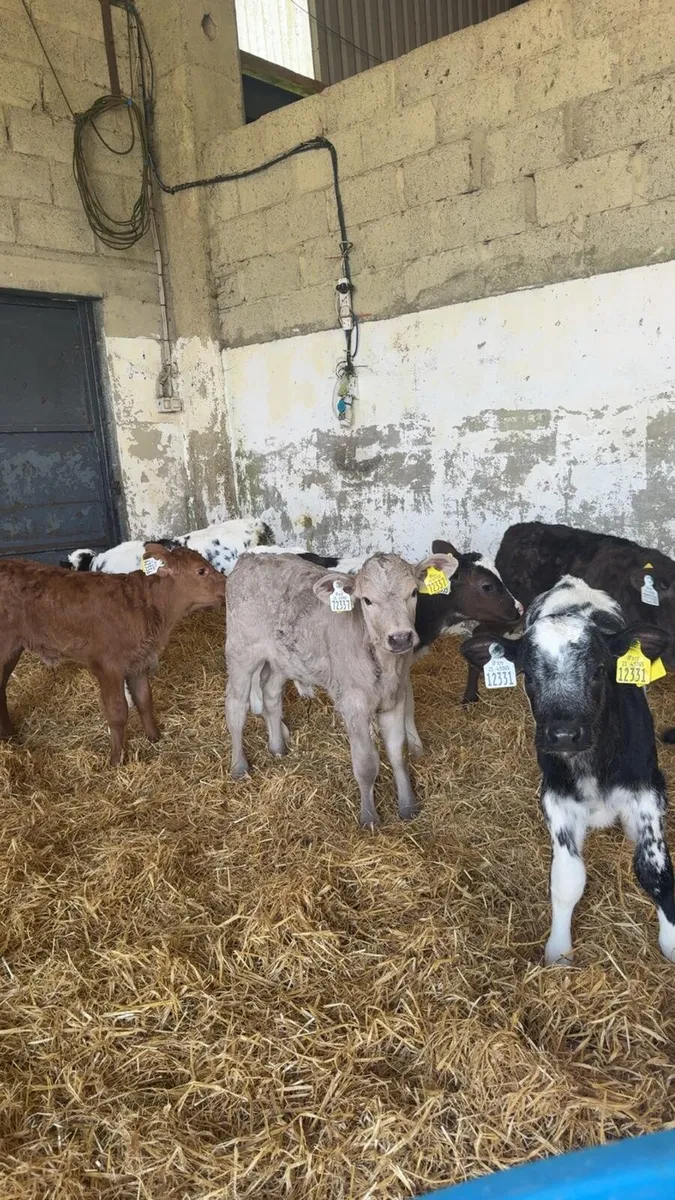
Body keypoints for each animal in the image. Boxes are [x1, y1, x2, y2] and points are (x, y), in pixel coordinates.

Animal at [0, 544, 225, 765]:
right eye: (201, 571)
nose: (227, 583)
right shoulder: (108, 666)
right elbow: (117, 710)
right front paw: (117, 757)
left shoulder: (138, 662)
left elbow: (144, 700)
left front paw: (154, 737)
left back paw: (10, 736)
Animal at [225, 549, 458, 827]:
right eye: (367, 600)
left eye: (413, 592)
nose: (400, 637)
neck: (384, 669)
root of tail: (250, 557)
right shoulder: (353, 705)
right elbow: (366, 765)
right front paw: (369, 817)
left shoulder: (395, 700)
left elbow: (398, 755)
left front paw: (408, 807)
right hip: (241, 652)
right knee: (236, 706)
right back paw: (239, 766)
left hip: (283, 659)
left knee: (270, 694)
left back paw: (278, 748)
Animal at [461, 576, 675, 965]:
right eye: (529, 675)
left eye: (600, 670)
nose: (563, 734)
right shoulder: (555, 795)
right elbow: (567, 879)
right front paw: (558, 949)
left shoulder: (648, 787)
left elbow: (656, 871)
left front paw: (671, 940)